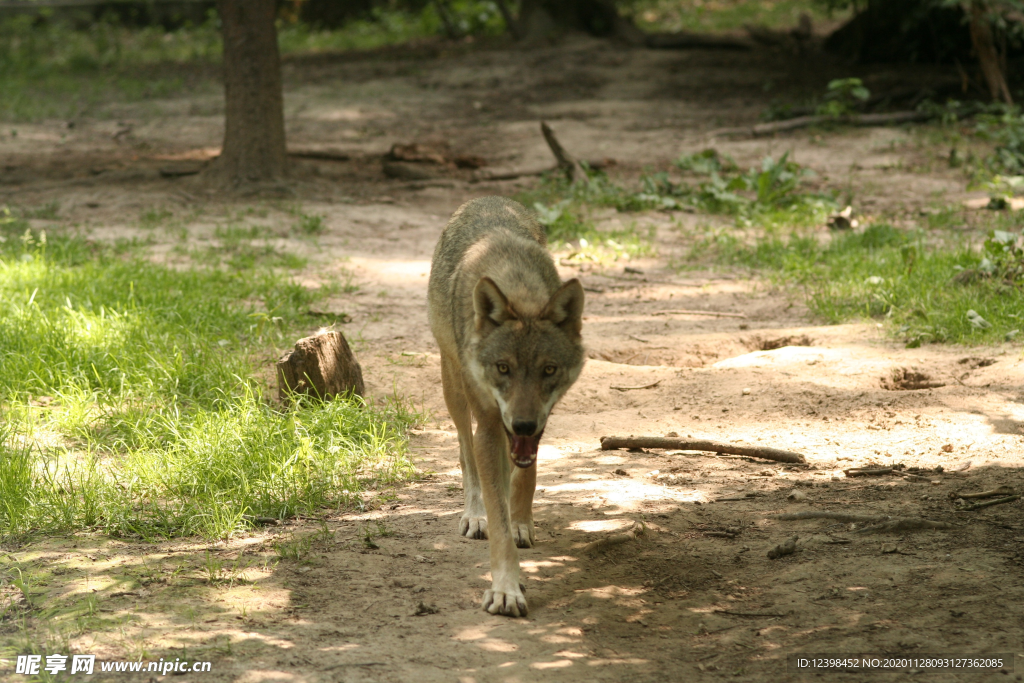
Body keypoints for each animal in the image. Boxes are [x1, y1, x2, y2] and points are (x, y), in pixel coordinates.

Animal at [425, 194, 585, 618]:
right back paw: (474, 514)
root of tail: (485, 198)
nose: (524, 425)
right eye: (503, 368)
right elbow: (497, 517)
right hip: (456, 391)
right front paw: (505, 589)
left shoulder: (536, 421)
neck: (518, 287)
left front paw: (521, 522)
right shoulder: (489, 422)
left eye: (548, 369)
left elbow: (526, 475)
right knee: (466, 456)